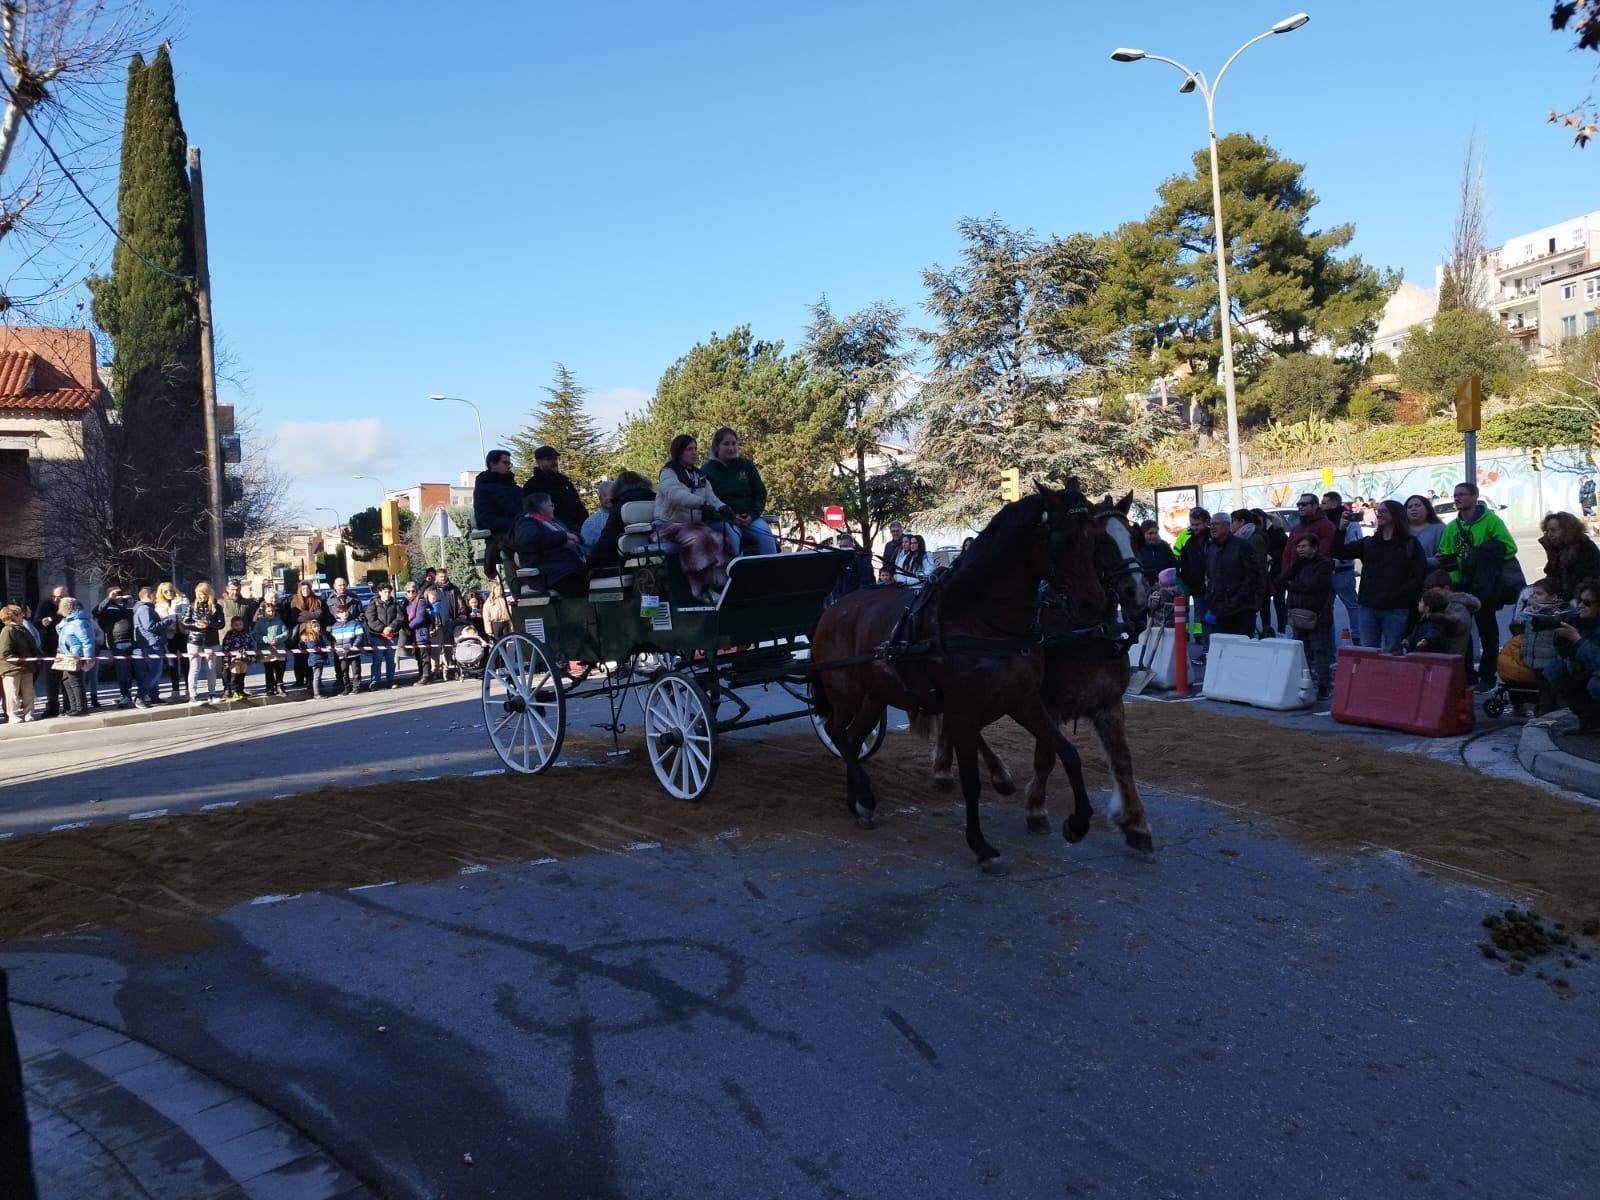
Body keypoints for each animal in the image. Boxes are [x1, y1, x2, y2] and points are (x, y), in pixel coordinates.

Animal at [812, 486, 1113, 876]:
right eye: (1062, 541)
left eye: (1096, 538)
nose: (1095, 605)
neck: (983, 618)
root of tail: (834, 608)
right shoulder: (962, 711)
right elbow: (971, 781)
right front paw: (982, 847)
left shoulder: (1023, 701)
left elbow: (1069, 753)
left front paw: (1078, 822)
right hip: (846, 693)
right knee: (836, 732)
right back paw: (863, 794)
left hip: (874, 697)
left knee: (851, 738)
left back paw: (859, 801)